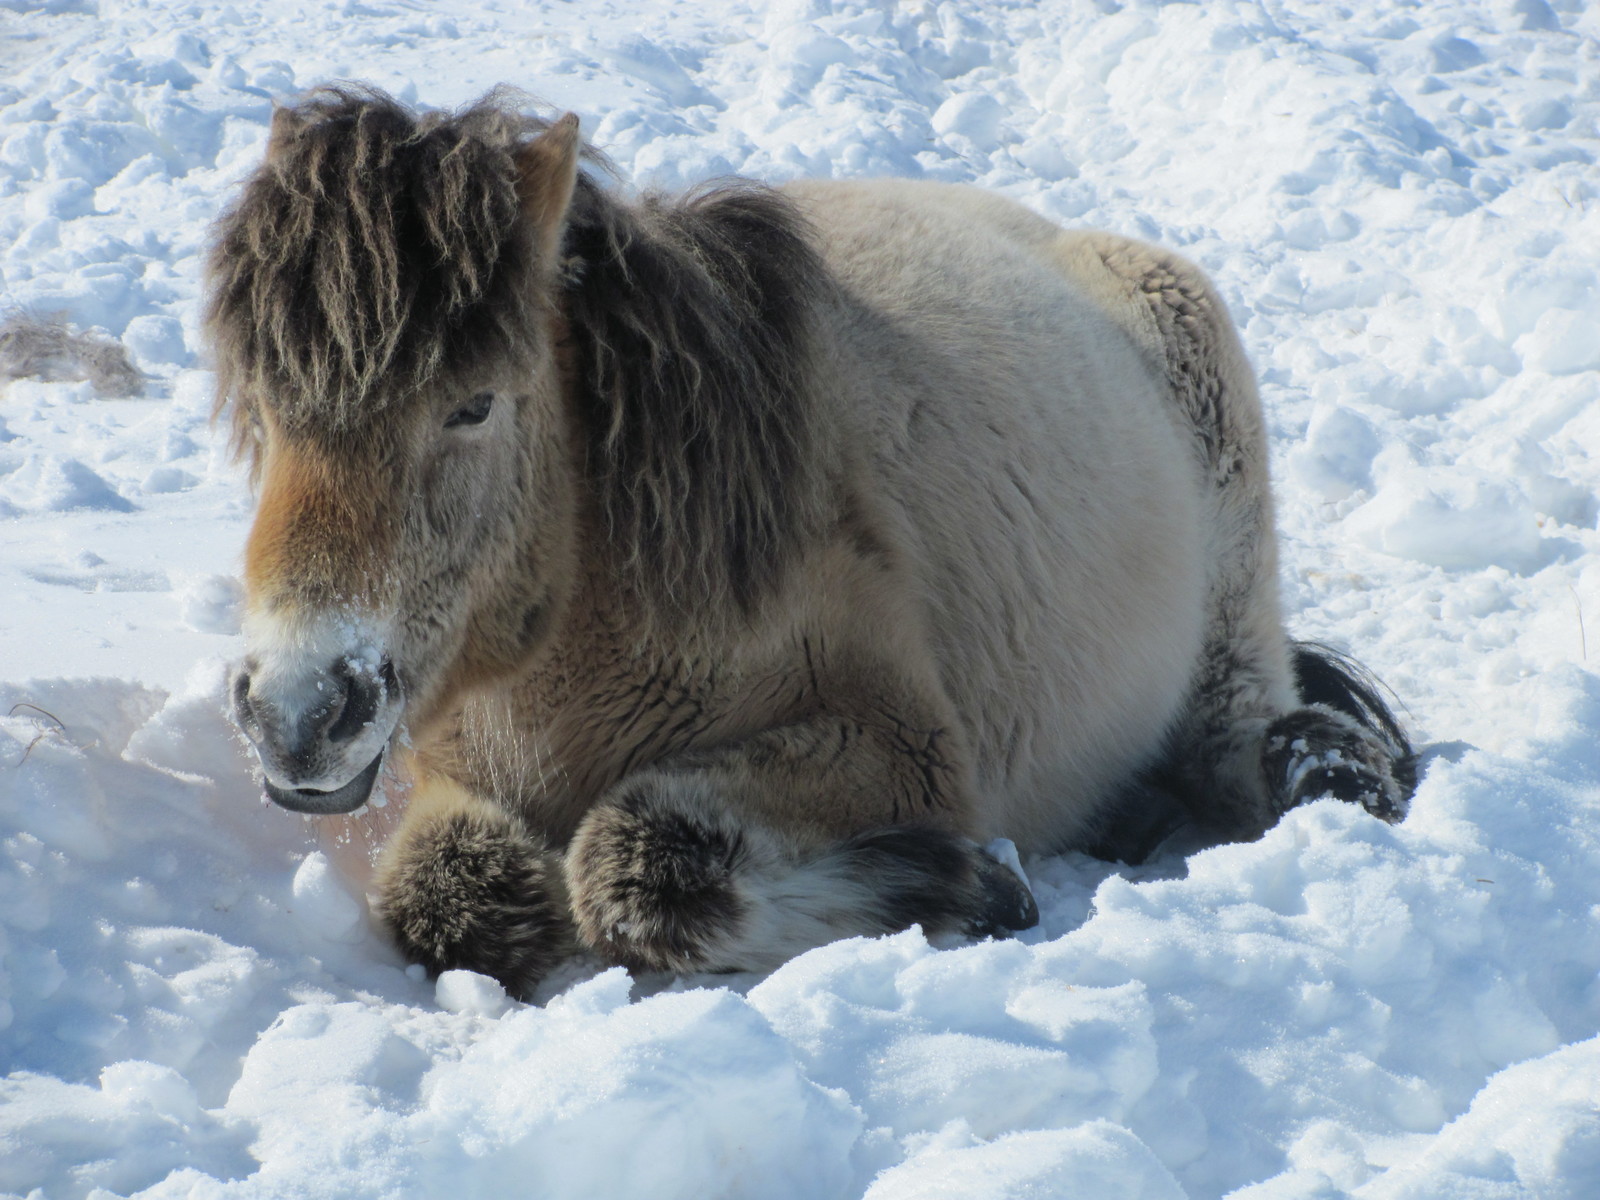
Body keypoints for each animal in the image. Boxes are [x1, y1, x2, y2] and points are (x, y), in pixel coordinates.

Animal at [203, 89, 1414, 998]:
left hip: (1225, 611)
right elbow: (450, 900)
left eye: (473, 405)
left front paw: (972, 886)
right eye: (264, 405)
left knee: (1261, 733)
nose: (299, 714)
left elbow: (634, 858)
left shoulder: (900, 745)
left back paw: (1306, 771)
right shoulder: (458, 769)